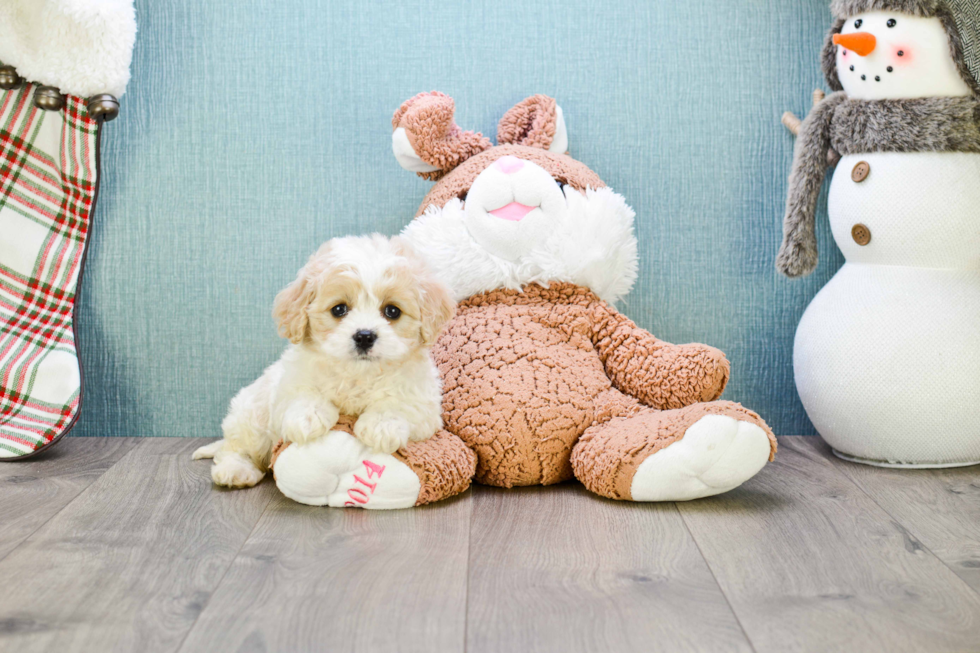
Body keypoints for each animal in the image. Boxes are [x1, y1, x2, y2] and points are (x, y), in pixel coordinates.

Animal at [193, 232, 458, 486]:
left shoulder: (424, 404)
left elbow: (400, 403)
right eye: (339, 309)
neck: (357, 377)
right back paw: (235, 470)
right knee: (235, 447)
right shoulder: (287, 385)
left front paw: (381, 425)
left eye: (392, 311)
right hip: (252, 416)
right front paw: (308, 417)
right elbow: (302, 394)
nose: (364, 336)